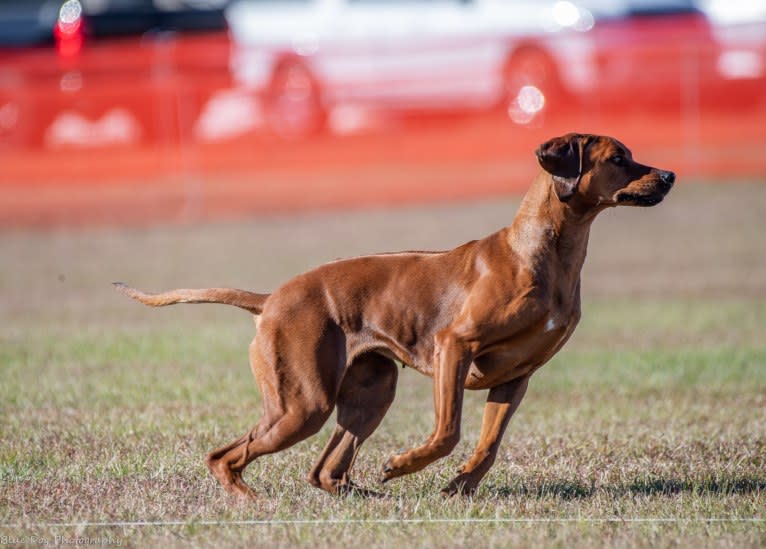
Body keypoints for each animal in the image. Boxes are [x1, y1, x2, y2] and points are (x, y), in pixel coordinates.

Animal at [114, 133, 672, 496]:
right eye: (619, 157)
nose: (669, 175)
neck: (546, 252)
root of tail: (270, 298)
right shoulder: (454, 348)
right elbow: (448, 432)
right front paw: (405, 465)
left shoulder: (516, 378)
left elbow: (488, 445)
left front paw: (459, 487)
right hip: (302, 405)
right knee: (225, 457)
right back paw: (250, 503)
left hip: (368, 394)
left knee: (324, 471)